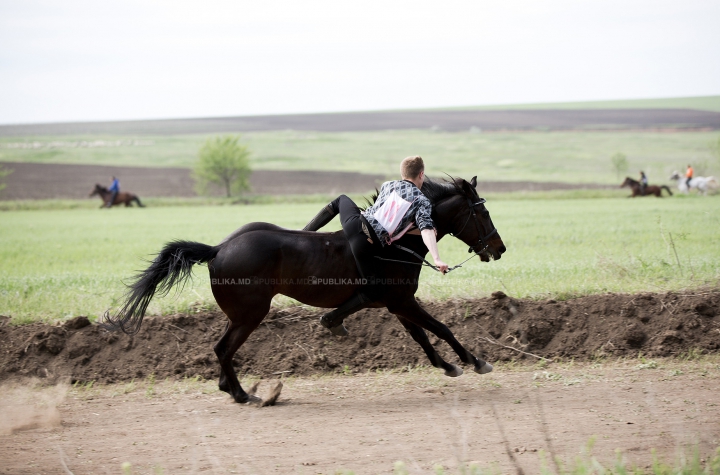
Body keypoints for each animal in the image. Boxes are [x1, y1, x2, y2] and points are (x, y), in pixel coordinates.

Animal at [104, 177, 504, 404]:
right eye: (483, 213)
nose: (499, 248)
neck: (398, 243)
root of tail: (218, 249)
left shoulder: (395, 303)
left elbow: (422, 336)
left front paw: (448, 366)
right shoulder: (401, 300)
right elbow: (441, 328)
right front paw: (475, 361)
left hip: (241, 314)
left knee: (223, 350)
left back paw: (231, 388)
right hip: (251, 313)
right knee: (222, 349)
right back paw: (242, 394)